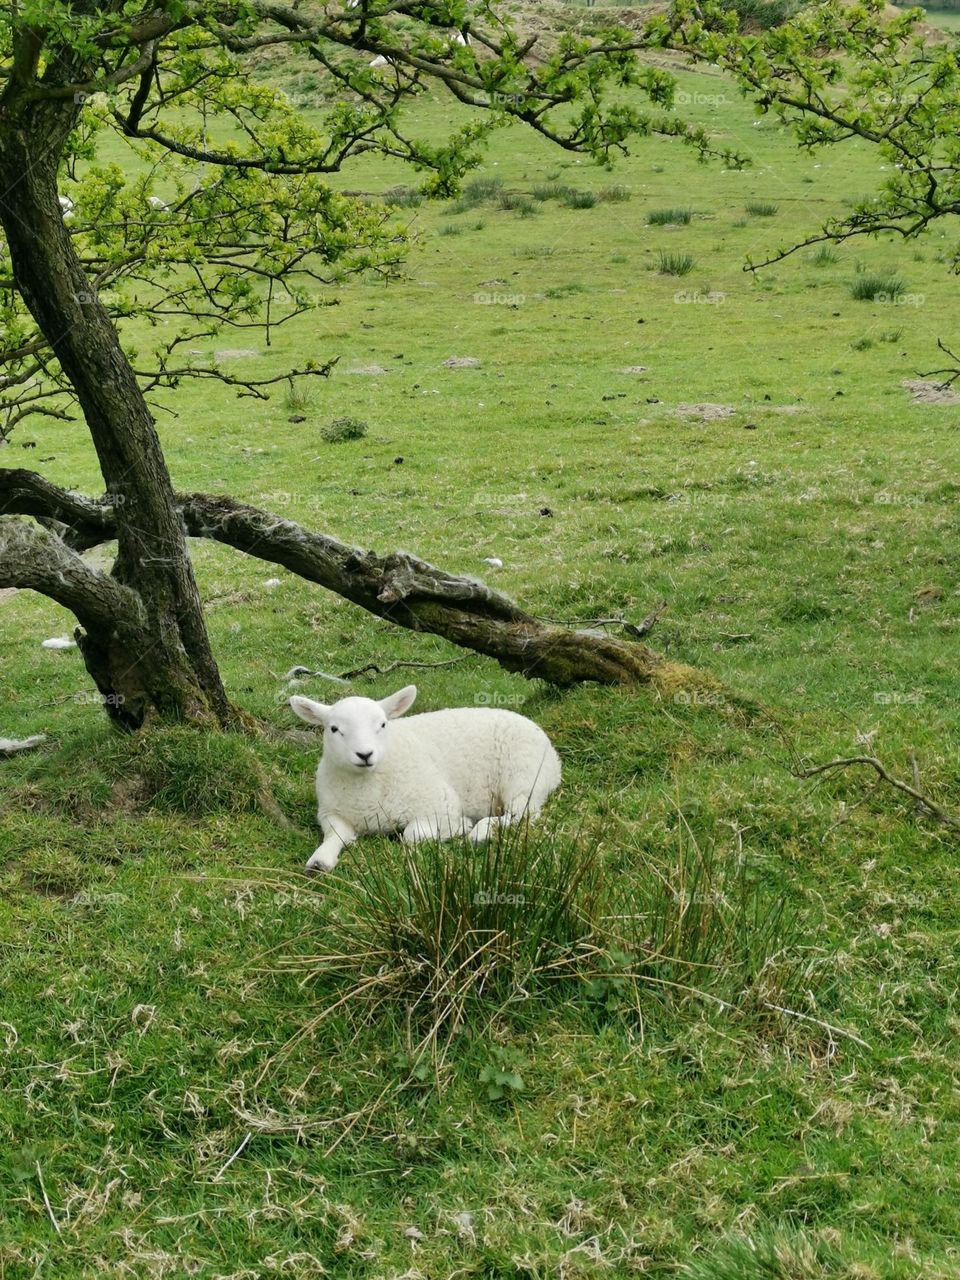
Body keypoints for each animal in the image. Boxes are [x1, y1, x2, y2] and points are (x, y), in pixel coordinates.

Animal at [289, 686, 560, 875]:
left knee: (522, 815)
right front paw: (319, 861)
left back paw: (480, 832)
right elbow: (336, 836)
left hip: (523, 777)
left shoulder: (440, 804)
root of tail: (555, 760)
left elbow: (412, 835)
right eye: (334, 729)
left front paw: (460, 827)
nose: (365, 754)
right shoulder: (331, 814)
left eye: (382, 725)